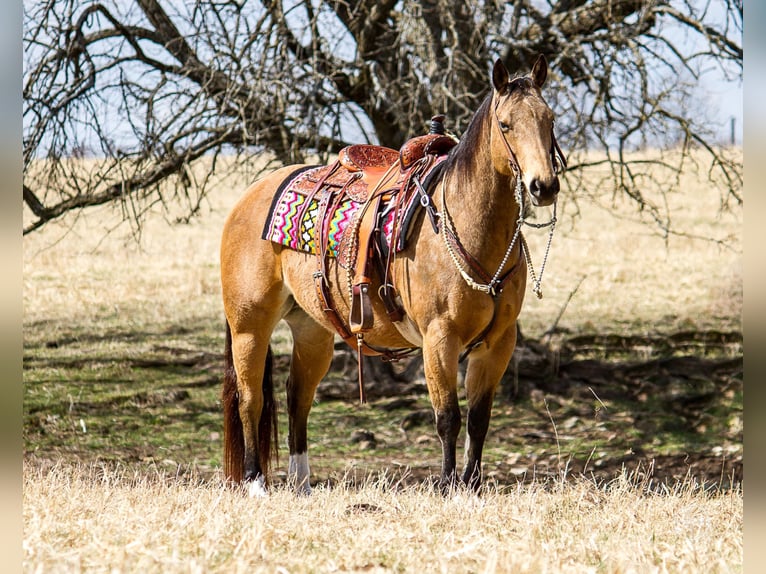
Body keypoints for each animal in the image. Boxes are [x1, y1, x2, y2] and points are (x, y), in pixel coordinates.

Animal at [219, 54, 568, 498]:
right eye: (505, 124)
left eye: (549, 119)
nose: (544, 186)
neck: (469, 224)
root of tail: (251, 194)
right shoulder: (439, 338)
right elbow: (448, 417)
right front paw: (447, 487)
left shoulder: (498, 343)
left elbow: (478, 419)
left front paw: (471, 487)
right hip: (249, 325)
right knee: (250, 399)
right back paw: (255, 482)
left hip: (313, 331)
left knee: (297, 397)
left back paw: (302, 485)